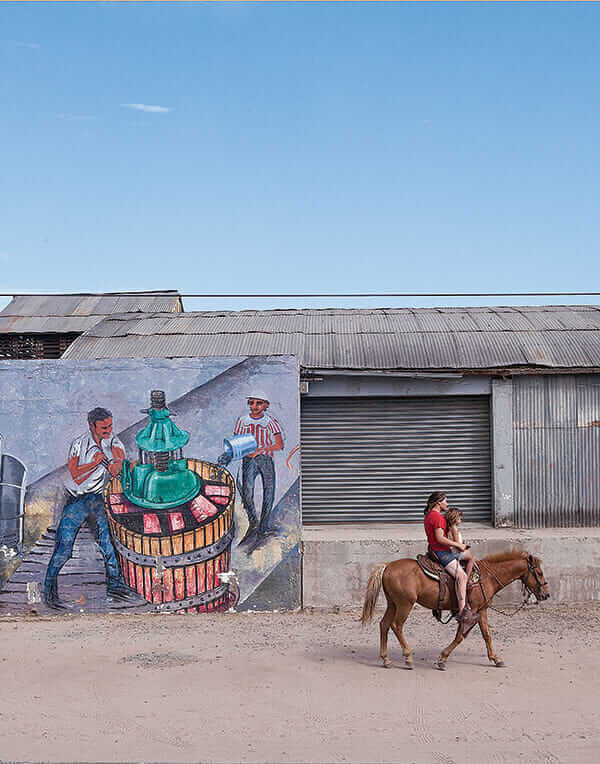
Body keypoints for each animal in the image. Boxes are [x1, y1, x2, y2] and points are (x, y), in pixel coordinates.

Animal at [358, 548, 552, 668]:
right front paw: (442, 659)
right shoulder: (470, 611)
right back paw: (408, 658)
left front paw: (496, 658)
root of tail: (387, 566)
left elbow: (487, 635)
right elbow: (460, 636)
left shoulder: (481, 610)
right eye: (539, 573)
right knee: (396, 626)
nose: (546, 594)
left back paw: (386, 659)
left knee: (384, 625)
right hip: (405, 604)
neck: (486, 577)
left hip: (393, 603)